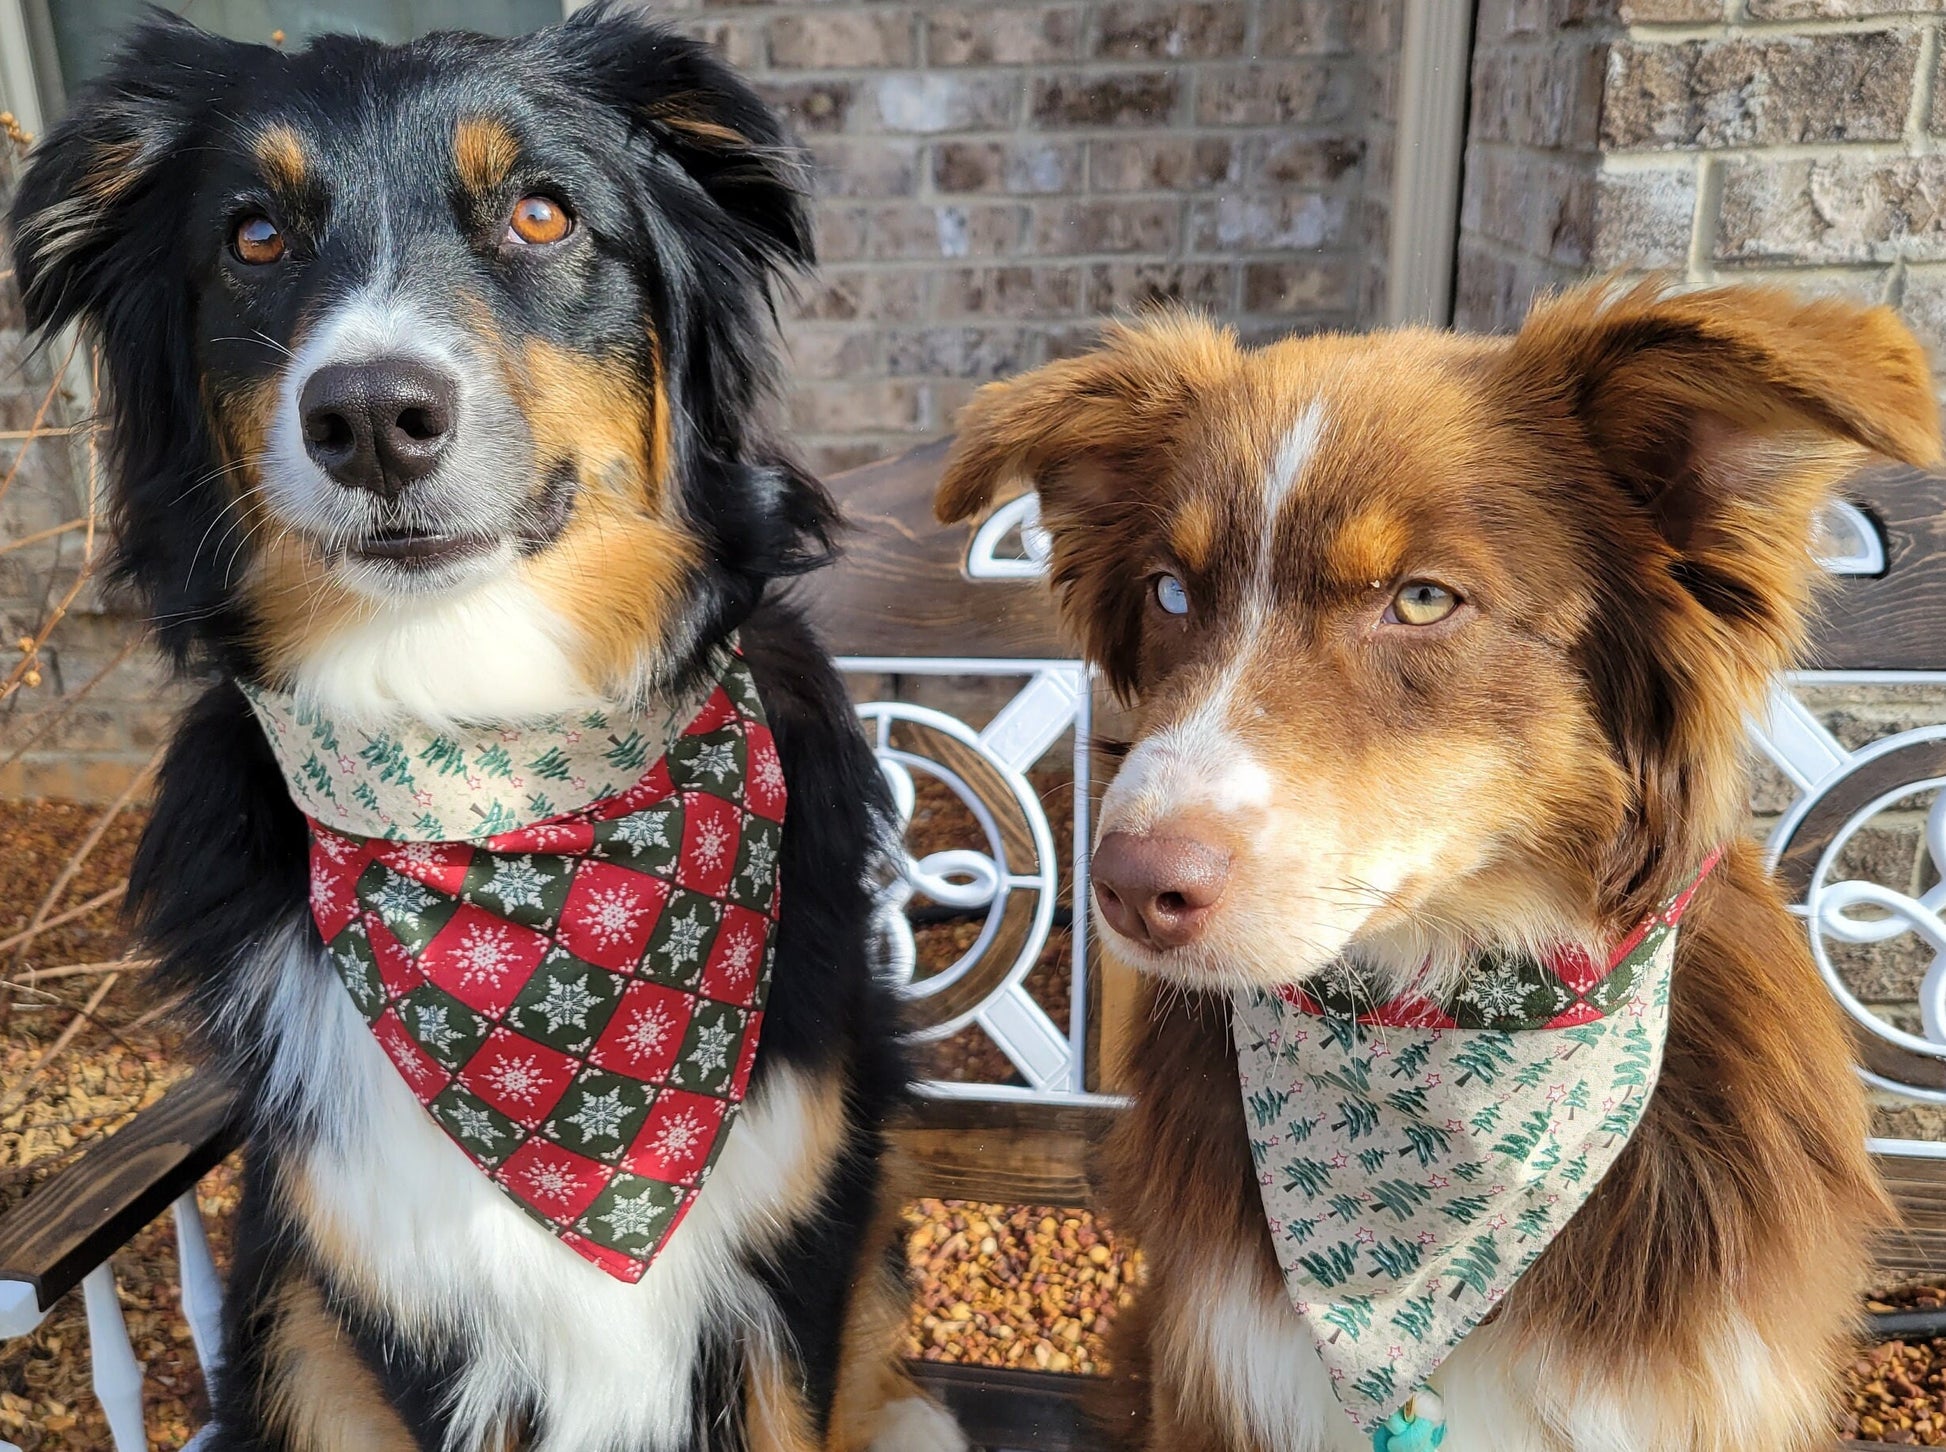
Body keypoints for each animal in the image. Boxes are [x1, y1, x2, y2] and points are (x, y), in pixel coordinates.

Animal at [7, 11, 965, 1448]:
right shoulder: (400, 1289)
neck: (494, 761)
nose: (368, 418)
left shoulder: (795, 1240)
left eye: (540, 213)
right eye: (253, 237)